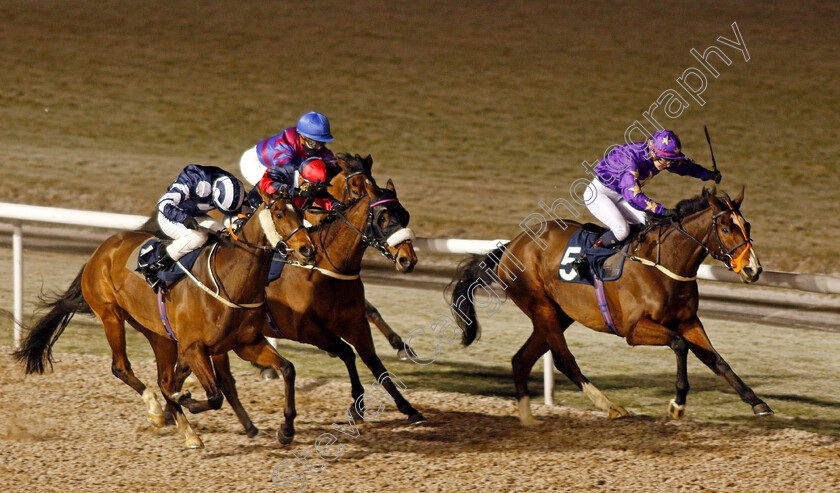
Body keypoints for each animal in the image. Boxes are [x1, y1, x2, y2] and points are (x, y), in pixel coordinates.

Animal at [12, 186, 316, 448]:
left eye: (300, 211)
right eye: (279, 214)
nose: (307, 250)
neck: (229, 279)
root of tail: (102, 249)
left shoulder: (246, 343)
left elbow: (287, 368)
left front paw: (286, 430)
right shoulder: (195, 348)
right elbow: (215, 395)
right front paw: (189, 401)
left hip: (159, 334)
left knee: (164, 380)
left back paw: (188, 432)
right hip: (110, 314)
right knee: (122, 368)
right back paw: (158, 411)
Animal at [450, 187, 772, 422]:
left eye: (747, 225)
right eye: (727, 229)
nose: (753, 269)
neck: (663, 263)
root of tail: (512, 245)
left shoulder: (689, 320)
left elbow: (716, 359)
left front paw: (757, 402)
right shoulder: (634, 329)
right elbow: (680, 345)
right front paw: (678, 403)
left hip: (559, 313)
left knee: (521, 360)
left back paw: (528, 419)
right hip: (541, 307)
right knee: (563, 359)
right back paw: (609, 405)